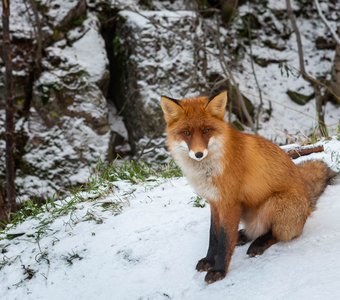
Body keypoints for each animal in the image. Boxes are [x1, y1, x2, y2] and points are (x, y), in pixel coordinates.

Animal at [160, 91, 338, 284]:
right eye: (186, 133)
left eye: (206, 130)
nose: (199, 154)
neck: (208, 170)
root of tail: (307, 201)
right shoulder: (214, 203)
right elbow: (213, 236)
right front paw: (209, 260)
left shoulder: (229, 203)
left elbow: (224, 240)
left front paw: (219, 270)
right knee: (254, 230)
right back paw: (244, 235)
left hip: (274, 203)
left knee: (278, 234)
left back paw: (258, 243)